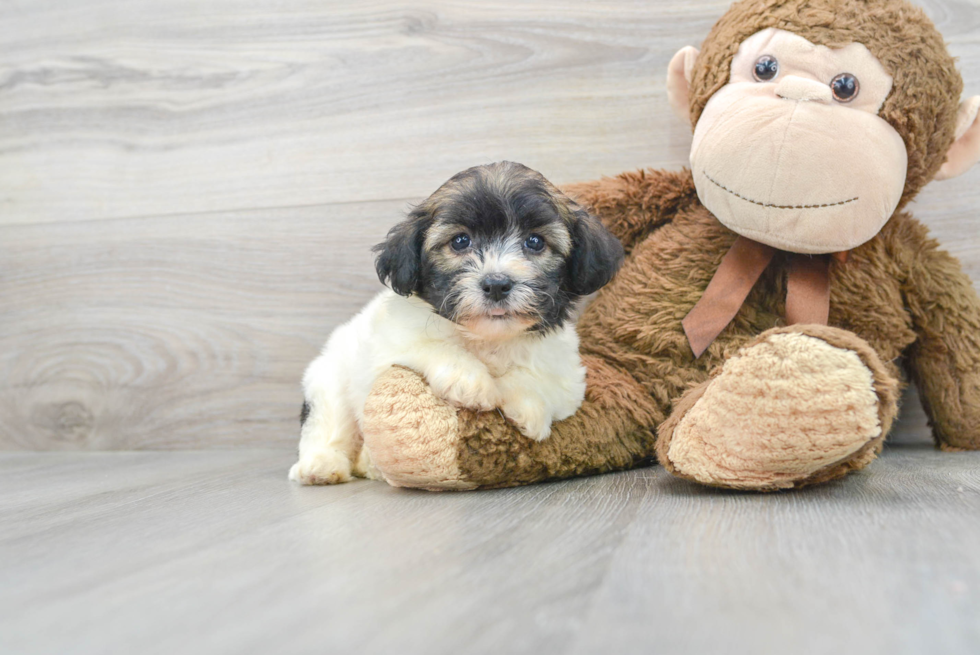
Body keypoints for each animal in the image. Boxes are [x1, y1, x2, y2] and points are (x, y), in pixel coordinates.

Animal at [290, 161, 620, 484]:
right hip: (328, 379)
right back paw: (321, 466)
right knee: (329, 423)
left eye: (535, 242)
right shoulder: (389, 343)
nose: (496, 284)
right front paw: (471, 381)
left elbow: (542, 380)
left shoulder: (568, 376)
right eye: (461, 241)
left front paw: (528, 406)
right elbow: (430, 344)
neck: (487, 338)